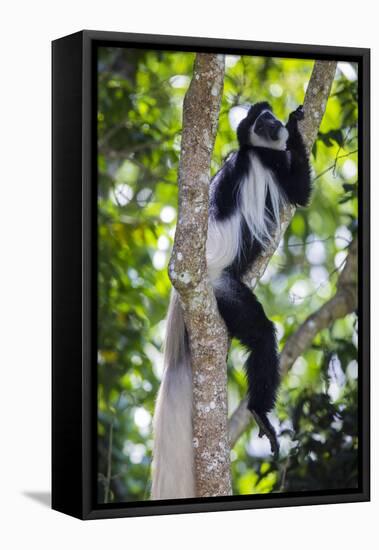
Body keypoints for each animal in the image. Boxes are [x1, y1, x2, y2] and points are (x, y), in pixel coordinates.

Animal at [151, 102, 312, 500]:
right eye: (262, 124)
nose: (274, 124)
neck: (252, 152)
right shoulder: (273, 167)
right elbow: (300, 192)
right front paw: (296, 126)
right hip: (223, 291)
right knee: (262, 337)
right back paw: (258, 412)